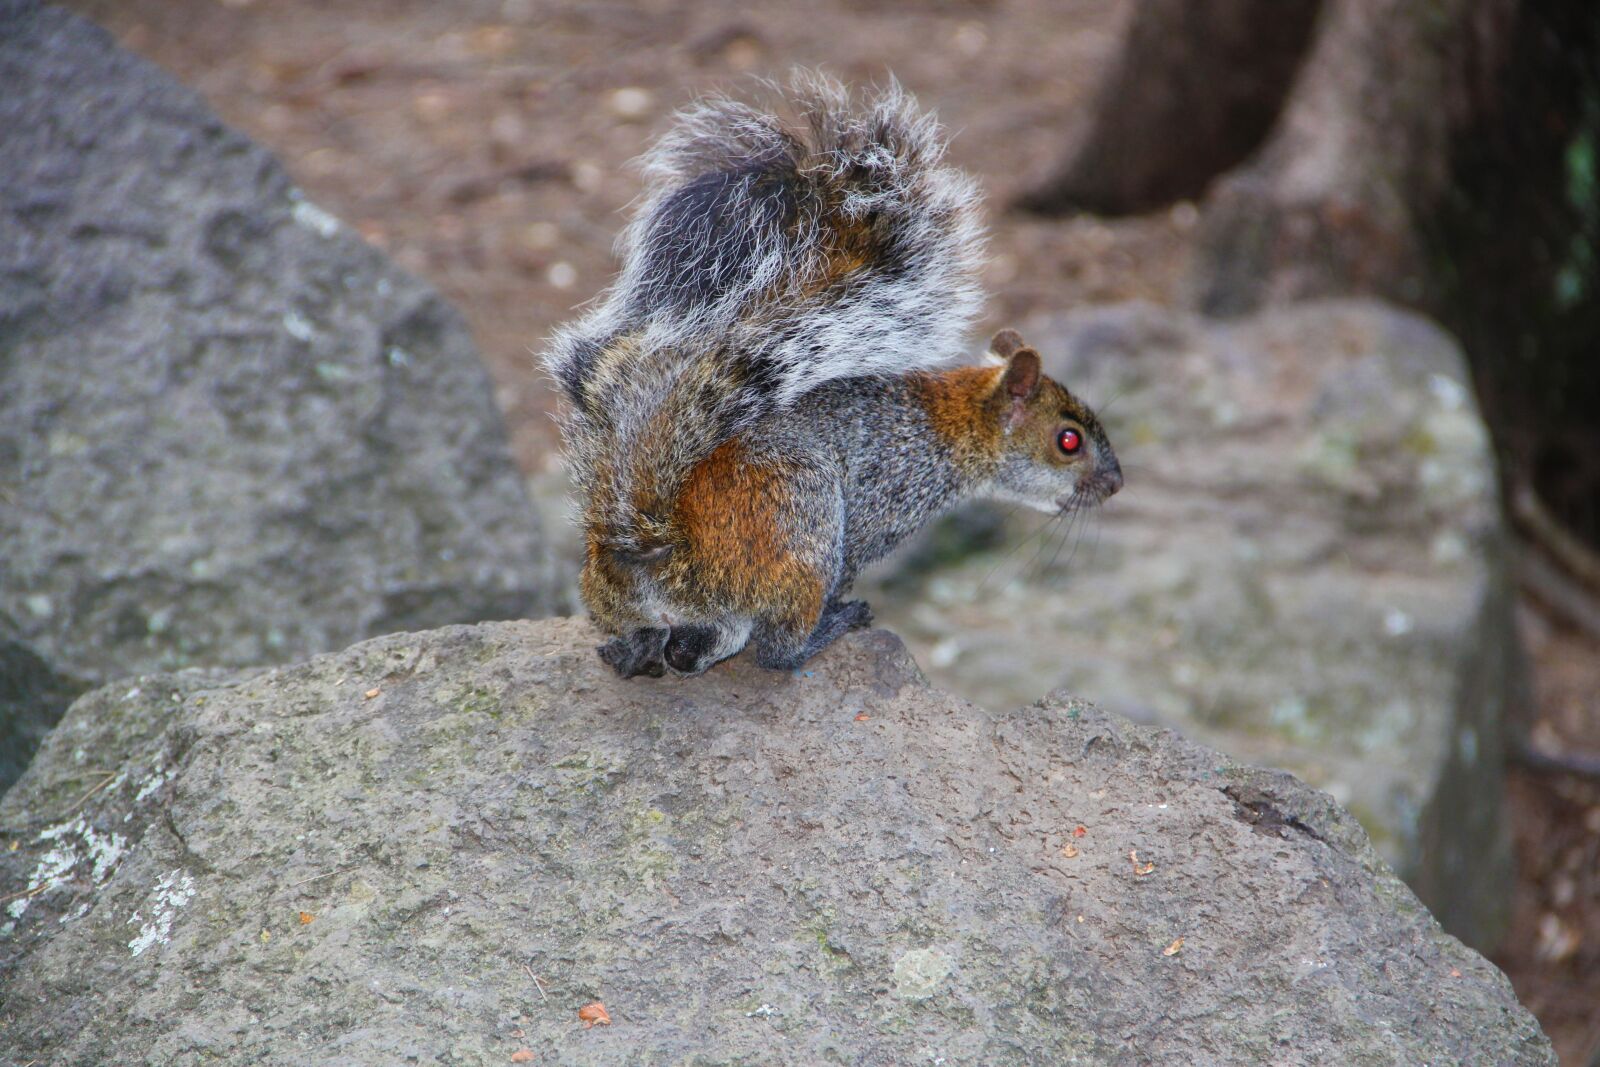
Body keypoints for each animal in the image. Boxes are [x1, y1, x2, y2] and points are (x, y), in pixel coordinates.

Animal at [546, 72, 1122, 678]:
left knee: (677, 643)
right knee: (775, 649)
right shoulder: (882, 506)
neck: (951, 423)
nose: (1116, 484)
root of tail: (657, 548)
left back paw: (636, 653)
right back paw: (826, 629)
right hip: (804, 529)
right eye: (1068, 440)